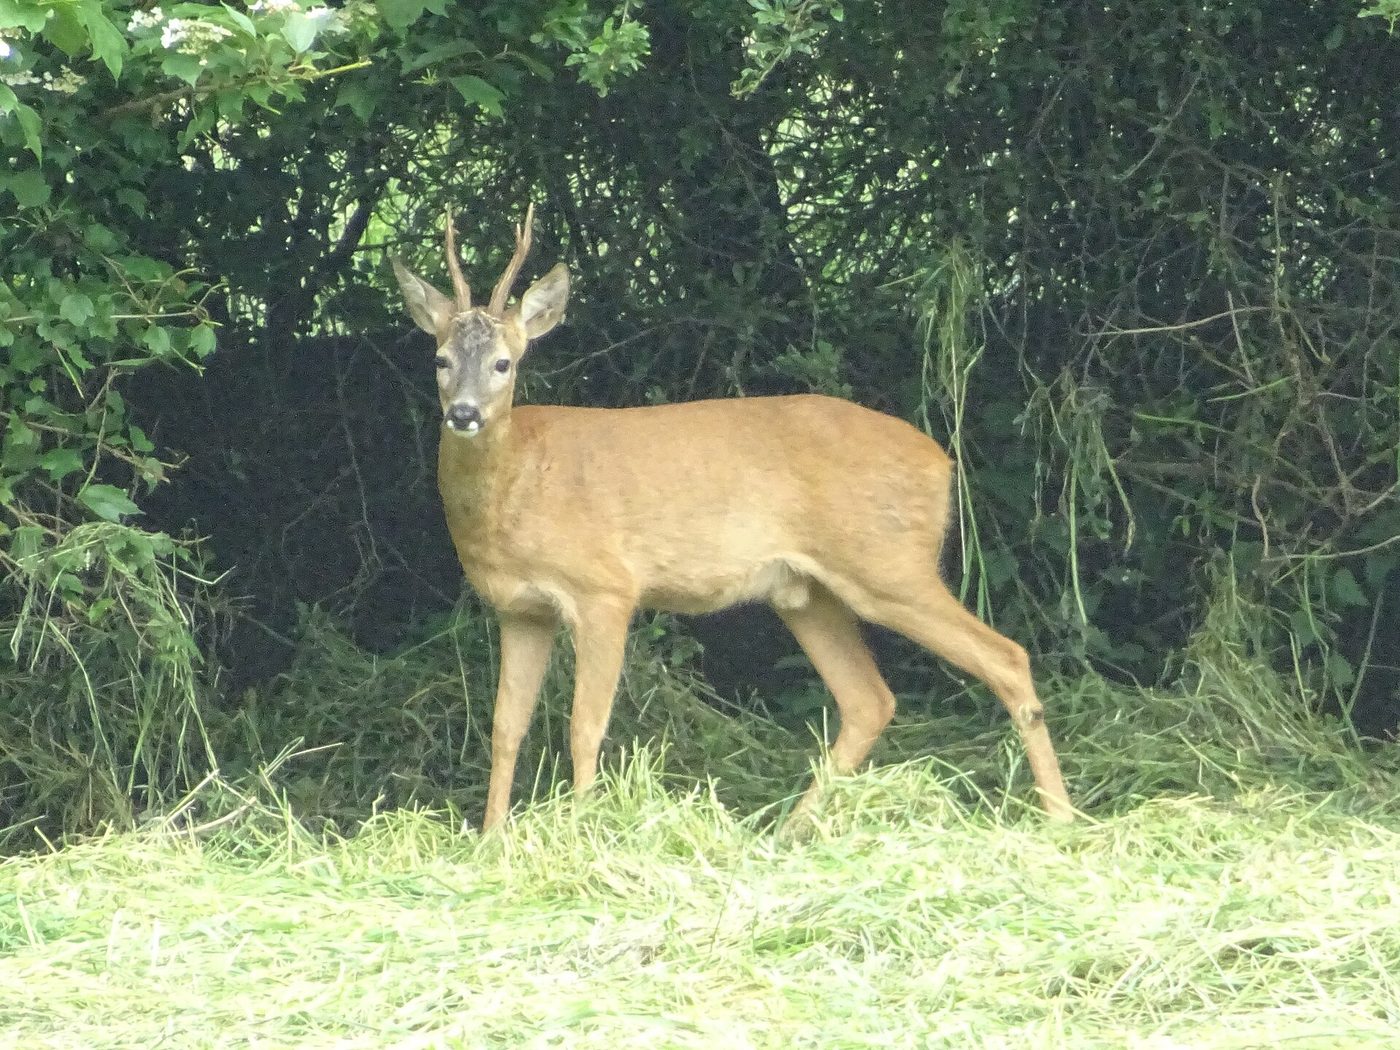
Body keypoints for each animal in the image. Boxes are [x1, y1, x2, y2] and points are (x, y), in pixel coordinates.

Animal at [391, 203, 1074, 833]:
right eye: (440, 360)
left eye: (504, 362)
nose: (465, 414)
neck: (518, 484)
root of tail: (942, 462)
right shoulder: (519, 609)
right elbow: (505, 726)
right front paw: (490, 842)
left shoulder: (605, 589)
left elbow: (586, 725)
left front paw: (583, 831)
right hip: (807, 593)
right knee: (869, 700)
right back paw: (788, 831)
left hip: (888, 565)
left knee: (1006, 657)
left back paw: (1060, 819)